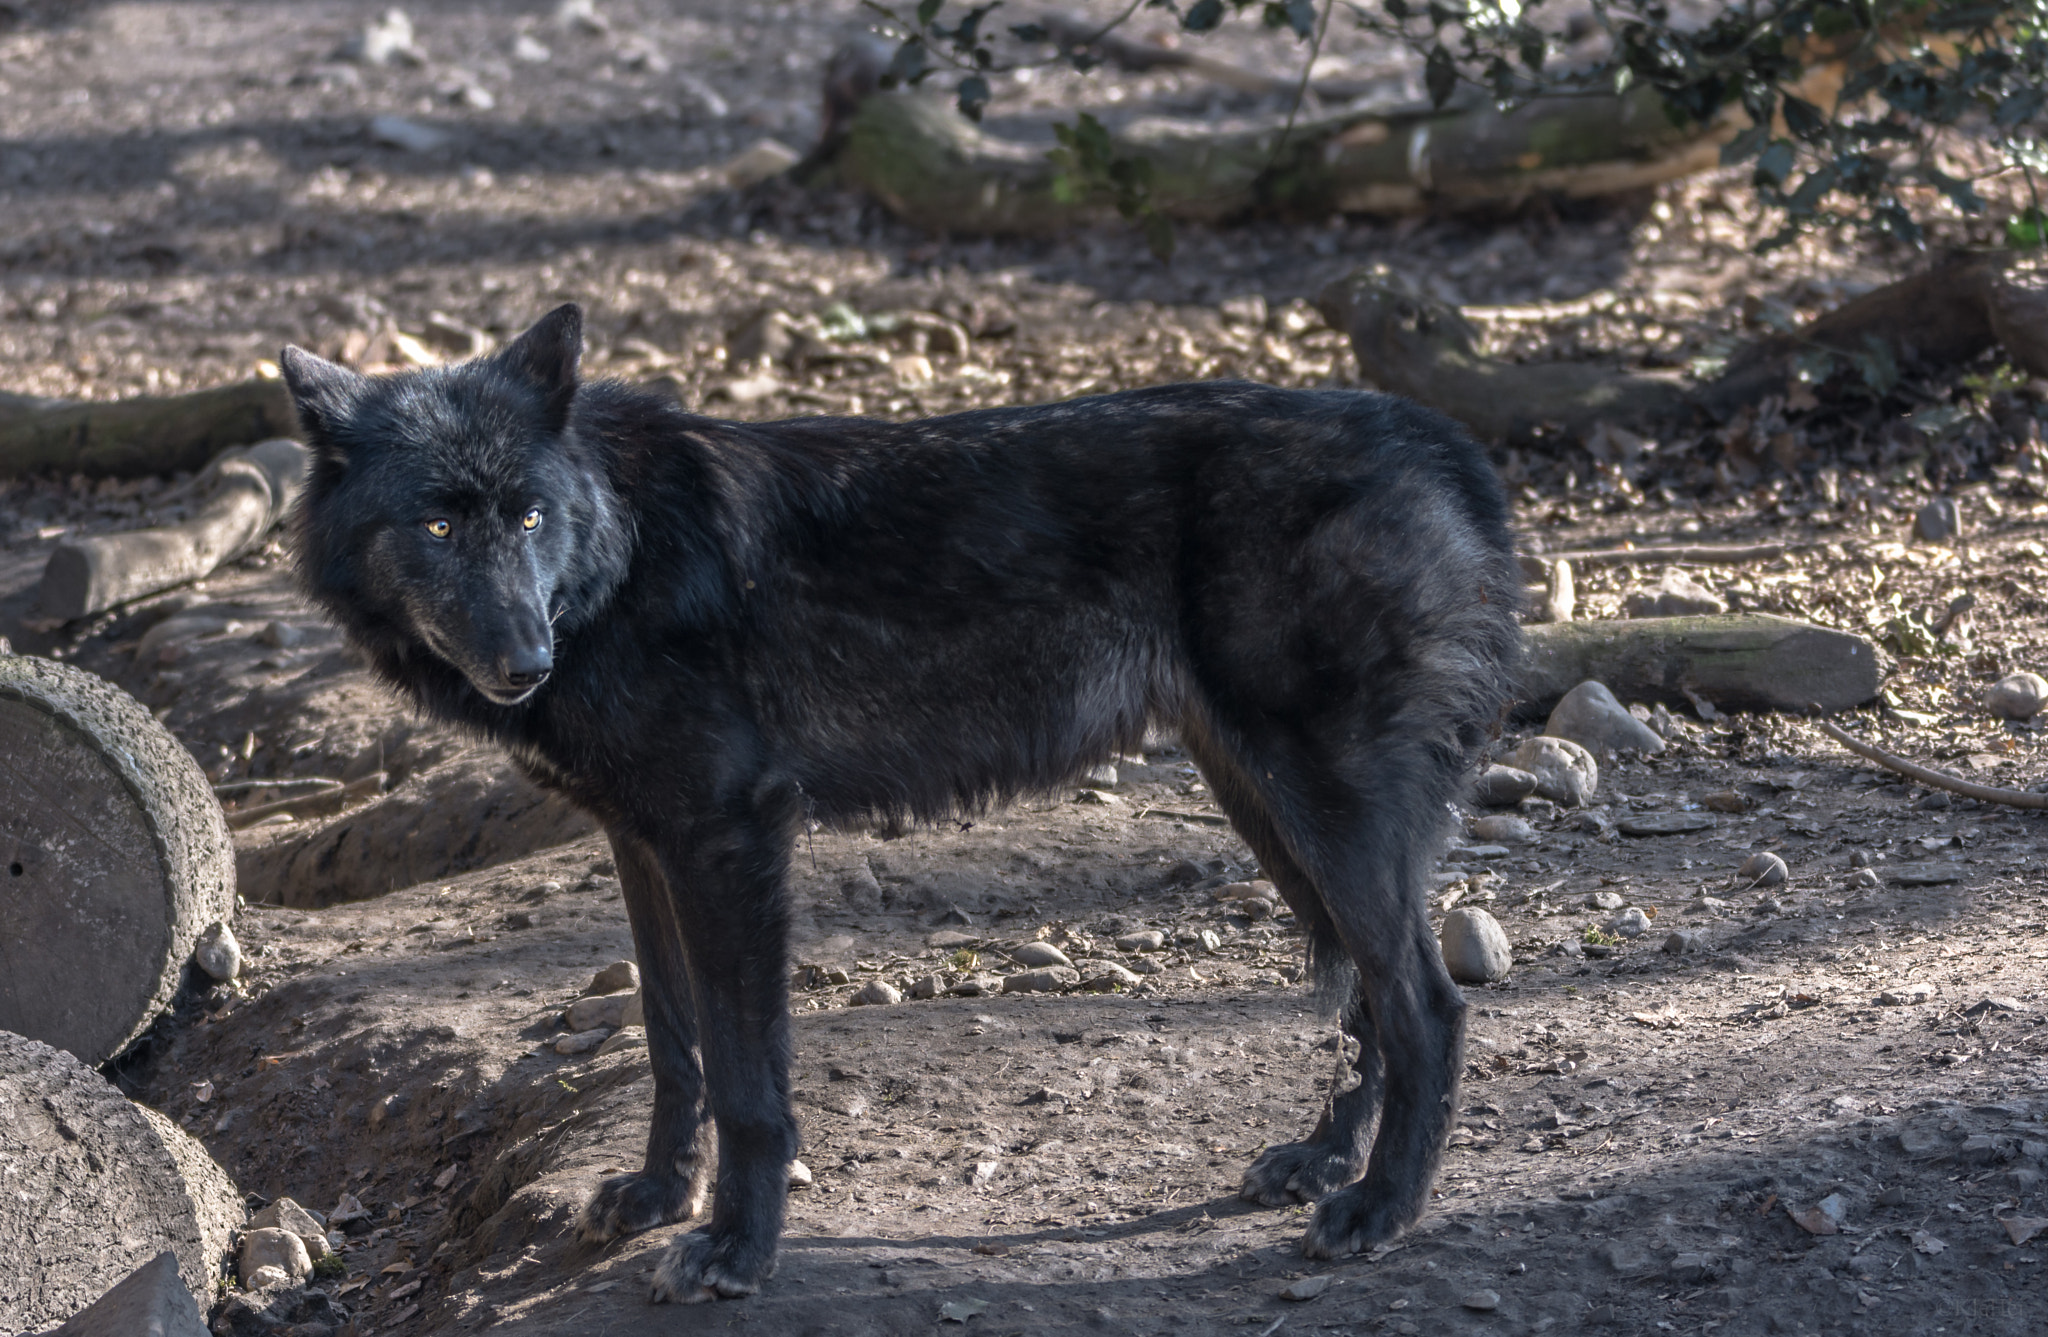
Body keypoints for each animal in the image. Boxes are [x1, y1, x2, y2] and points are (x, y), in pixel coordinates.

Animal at [280, 304, 1523, 1303]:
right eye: (438, 524)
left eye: (529, 516)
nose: (524, 659)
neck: (620, 555)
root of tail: (1437, 437)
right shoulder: (642, 839)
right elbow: (671, 1041)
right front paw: (651, 1195)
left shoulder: (728, 834)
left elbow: (744, 1074)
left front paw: (735, 1247)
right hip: (1270, 809)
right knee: (1365, 996)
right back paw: (1320, 1163)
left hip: (1320, 806)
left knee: (1423, 1001)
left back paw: (1379, 1207)